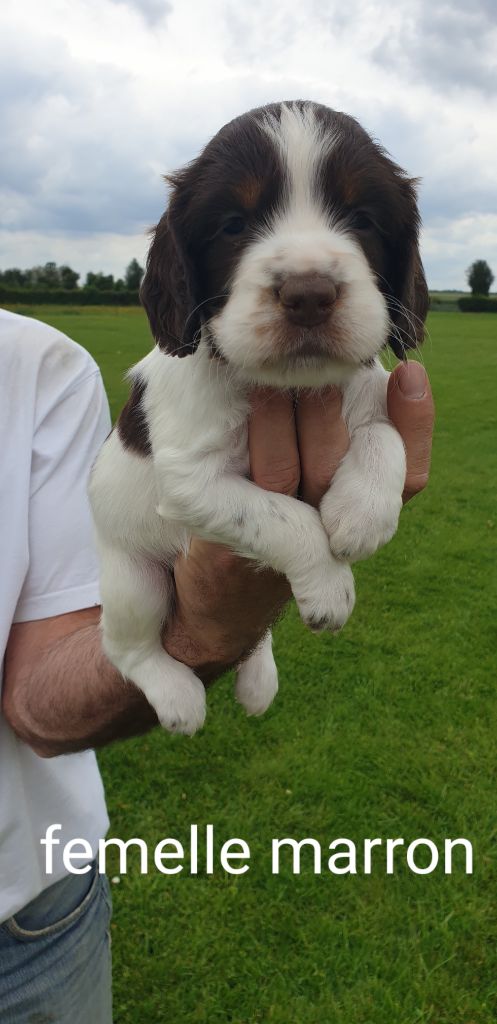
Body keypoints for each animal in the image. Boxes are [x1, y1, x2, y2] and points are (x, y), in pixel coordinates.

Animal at [88, 99, 426, 733]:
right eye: (233, 225)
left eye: (362, 218)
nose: (309, 294)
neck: (286, 388)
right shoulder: (191, 481)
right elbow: (285, 519)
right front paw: (330, 588)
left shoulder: (369, 393)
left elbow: (384, 433)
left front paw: (361, 514)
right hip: (131, 579)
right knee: (125, 645)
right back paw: (176, 697)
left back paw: (257, 676)